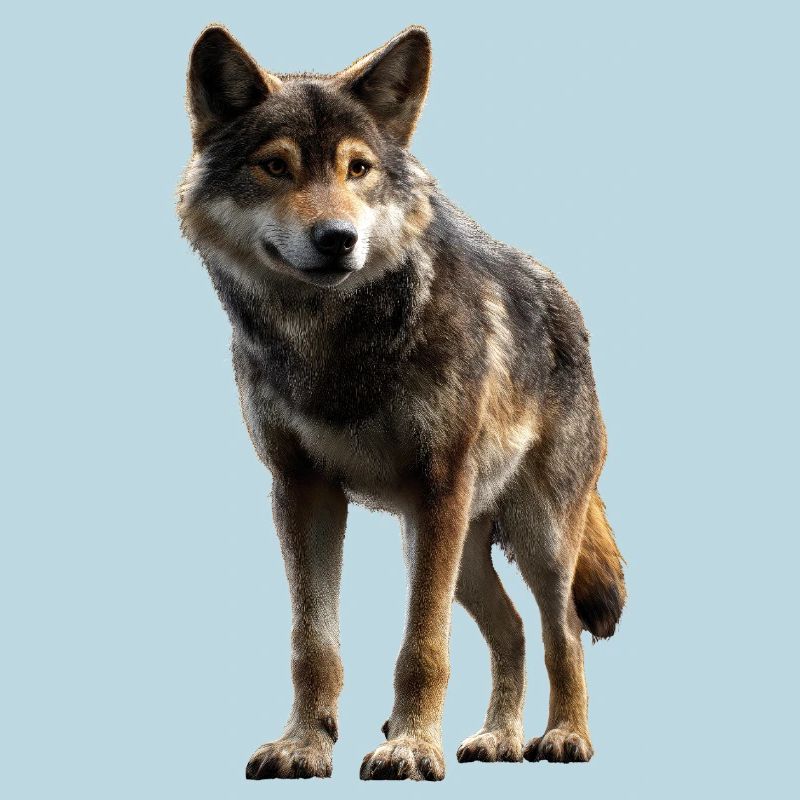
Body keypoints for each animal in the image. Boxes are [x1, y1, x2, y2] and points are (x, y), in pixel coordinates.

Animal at [178, 24, 626, 781]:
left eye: (358, 168)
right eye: (276, 168)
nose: (338, 239)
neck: (333, 341)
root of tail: (567, 303)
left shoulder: (438, 485)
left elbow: (423, 646)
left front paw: (411, 747)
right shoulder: (302, 489)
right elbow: (313, 645)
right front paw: (304, 745)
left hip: (530, 536)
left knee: (560, 630)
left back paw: (564, 737)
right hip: (457, 549)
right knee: (511, 632)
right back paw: (498, 739)